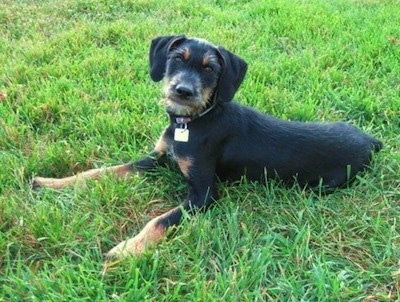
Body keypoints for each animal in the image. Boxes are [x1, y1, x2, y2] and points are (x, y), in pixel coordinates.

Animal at [32, 34, 382, 258]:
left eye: (210, 68)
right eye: (176, 59)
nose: (182, 91)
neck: (191, 123)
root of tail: (371, 140)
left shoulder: (204, 195)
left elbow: (158, 221)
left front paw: (127, 249)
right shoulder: (156, 158)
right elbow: (101, 171)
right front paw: (51, 183)